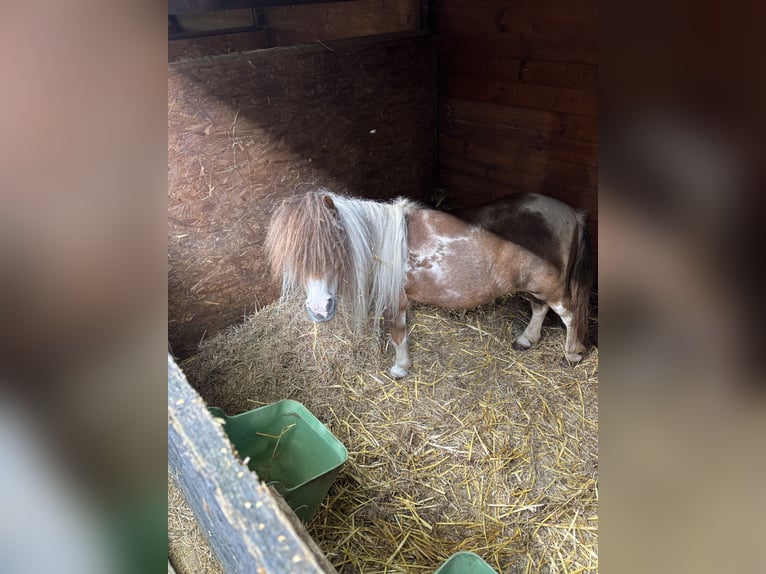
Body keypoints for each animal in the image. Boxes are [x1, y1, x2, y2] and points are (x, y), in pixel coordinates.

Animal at [265, 188, 593, 378]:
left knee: (569, 315)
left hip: (551, 288)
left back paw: (572, 353)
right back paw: (527, 339)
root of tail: (572, 214)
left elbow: (398, 334)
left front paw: (400, 368)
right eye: (295, 257)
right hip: (534, 285)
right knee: (539, 309)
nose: (319, 310)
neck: (384, 246)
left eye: (335, 247)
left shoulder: (394, 300)